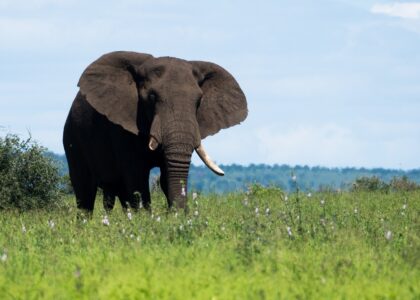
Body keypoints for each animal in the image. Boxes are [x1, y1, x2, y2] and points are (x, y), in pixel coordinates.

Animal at [62, 51, 246, 213]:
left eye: (199, 101)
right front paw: (146, 221)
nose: (180, 213)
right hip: (72, 139)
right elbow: (137, 178)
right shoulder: (121, 127)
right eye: (151, 97)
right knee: (84, 191)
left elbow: (166, 176)